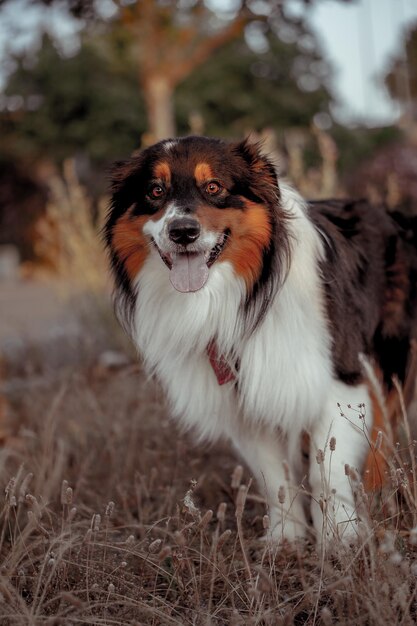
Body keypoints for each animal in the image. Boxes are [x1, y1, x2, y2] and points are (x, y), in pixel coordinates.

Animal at [103, 134, 416, 544]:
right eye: (155, 191)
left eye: (214, 187)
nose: (182, 232)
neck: (236, 294)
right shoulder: (241, 399)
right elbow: (274, 476)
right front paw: (286, 539)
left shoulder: (339, 380)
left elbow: (327, 469)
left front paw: (340, 536)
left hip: (387, 360)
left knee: (381, 430)